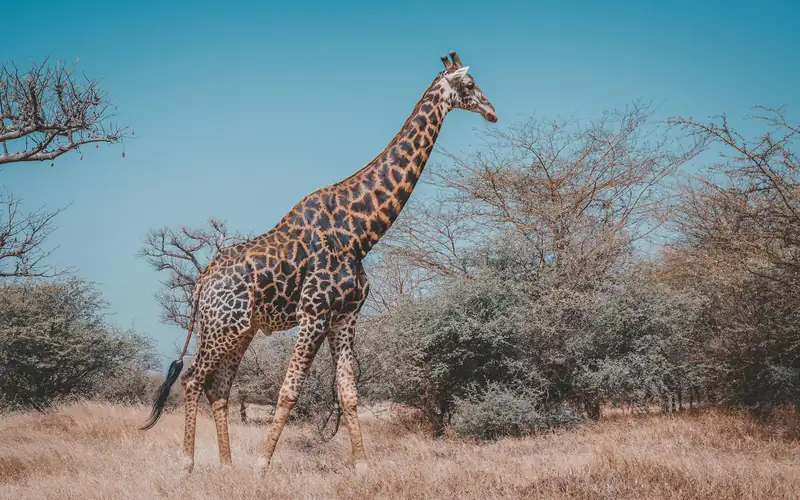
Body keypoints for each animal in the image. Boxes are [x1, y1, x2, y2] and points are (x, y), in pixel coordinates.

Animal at [140, 50, 498, 475]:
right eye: (470, 85)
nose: (492, 112)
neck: (360, 232)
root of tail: (200, 284)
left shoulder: (345, 316)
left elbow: (348, 393)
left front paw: (362, 467)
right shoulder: (314, 313)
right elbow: (289, 391)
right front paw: (261, 466)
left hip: (241, 330)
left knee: (219, 387)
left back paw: (227, 466)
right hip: (221, 327)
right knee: (193, 378)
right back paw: (187, 463)